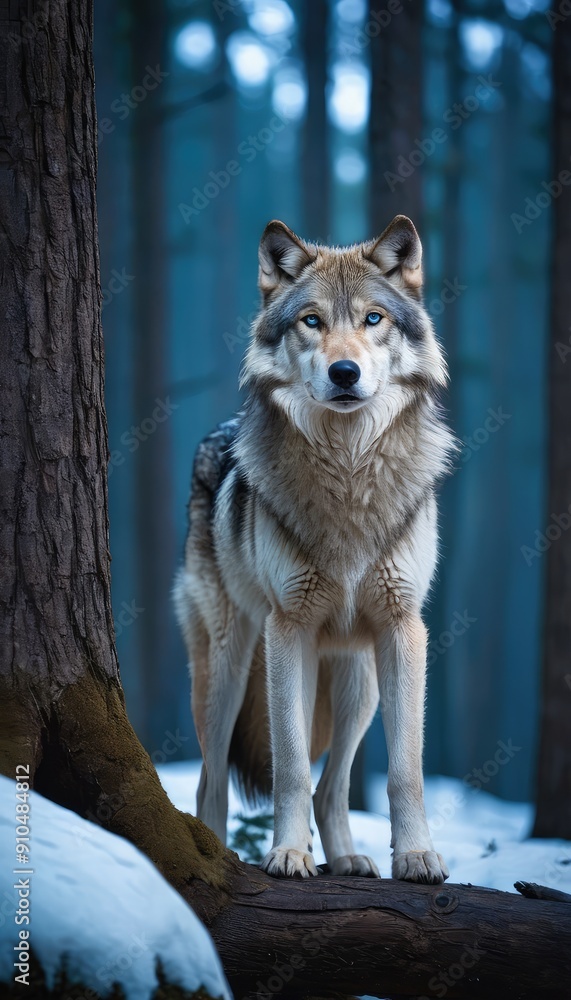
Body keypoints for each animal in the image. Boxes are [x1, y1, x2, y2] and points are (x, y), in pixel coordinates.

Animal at [174, 215, 456, 882]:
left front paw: (416, 856)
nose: (344, 373)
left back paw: (348, 859)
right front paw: (287, 854)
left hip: (359, 683)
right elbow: (290, 766)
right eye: (312, 321)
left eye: (374, 319)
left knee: (334, 785)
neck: (349, 474)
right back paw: (219, 852)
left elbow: (404, 772)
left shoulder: (404, 629)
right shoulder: (289, 628)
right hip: (230, 666)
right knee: (211, 779)